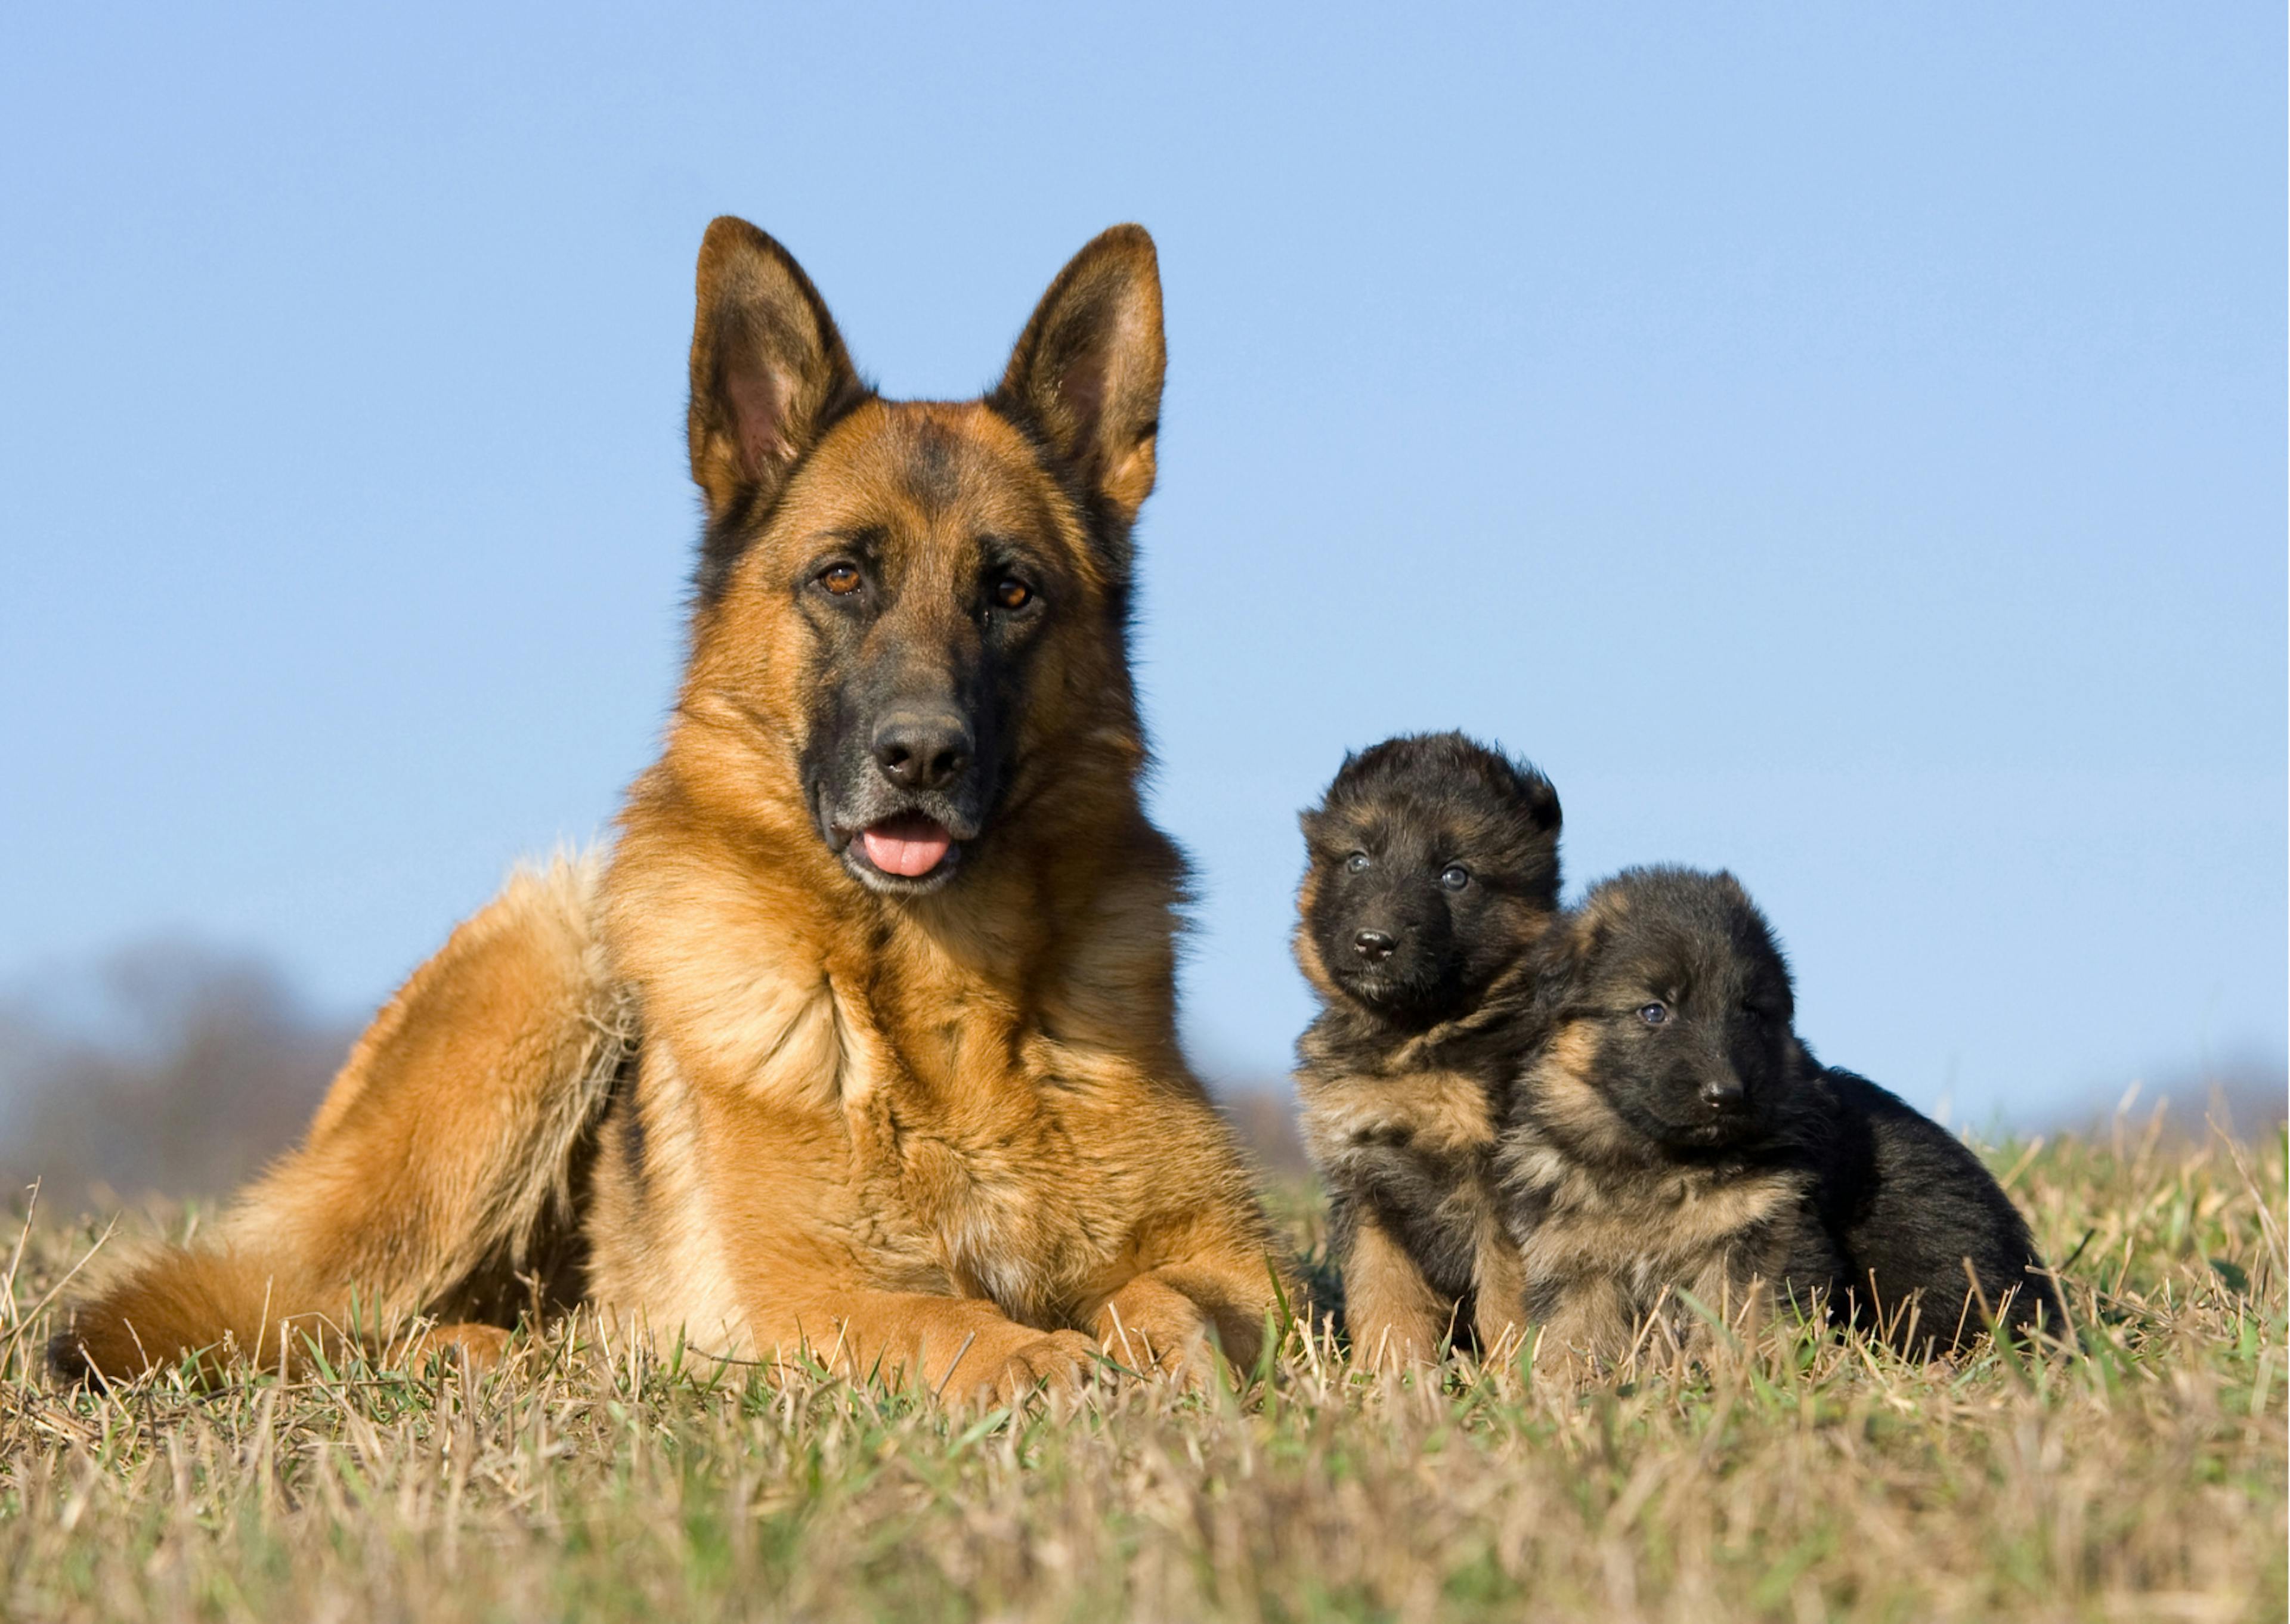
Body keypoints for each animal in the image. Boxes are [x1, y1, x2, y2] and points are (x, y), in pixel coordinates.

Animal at [49, 218, 1291, 1402]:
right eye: (843, 577)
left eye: (1013, 590)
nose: (922, 755)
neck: (944, 1002)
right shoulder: (813, 1290)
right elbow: (942, 1320)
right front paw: (1035, 1360)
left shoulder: (1241, 1267)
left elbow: (1177, 1297)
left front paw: (1163, 1350)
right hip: (544, 972)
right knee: (318, 1320)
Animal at [1301, 742, 1566, 1365]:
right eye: (1358, 861)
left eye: (1455, 875)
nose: (1373, 943)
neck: (1414, 1038)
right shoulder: (1367, 1187)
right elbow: (1383, 1297)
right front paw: (1390, 1376)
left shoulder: (1506, 1190)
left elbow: (1507, 1301)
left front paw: (1516, 1379)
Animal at [1493, 866, 2070, 1365]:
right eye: (1654, 1011)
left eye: (1750, 1012)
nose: (1726, 1095)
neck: (1661, 1162)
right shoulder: (1575, 1262)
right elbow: (1572, 1338)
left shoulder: (1760, 1238)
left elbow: (1745, 1321)